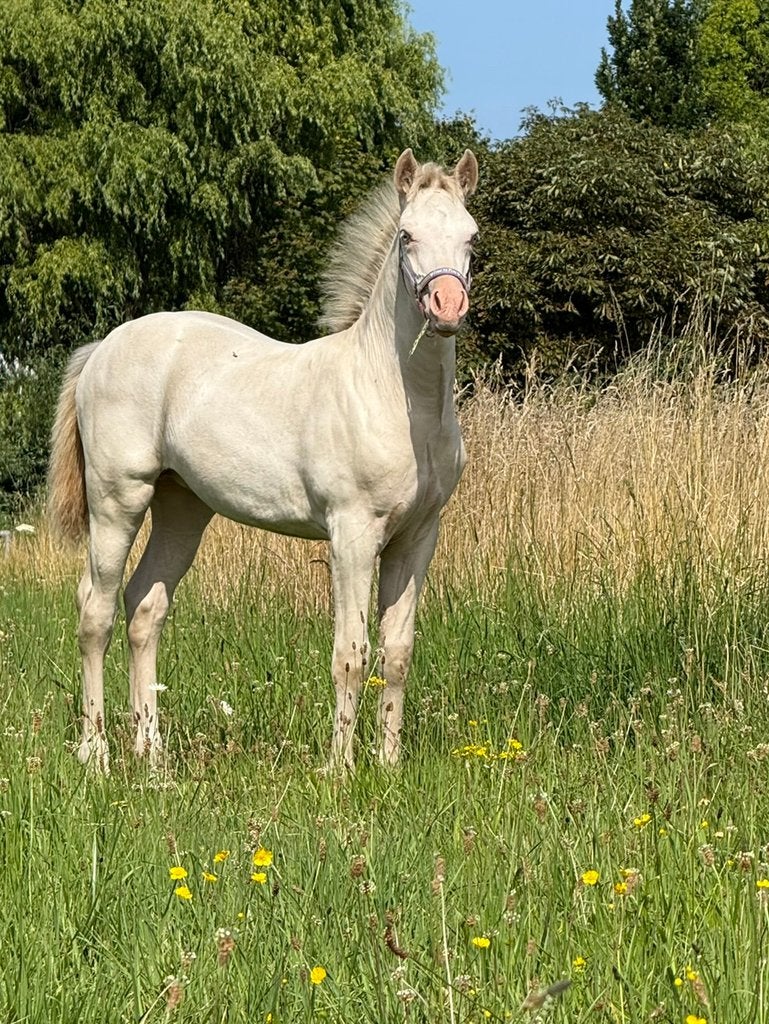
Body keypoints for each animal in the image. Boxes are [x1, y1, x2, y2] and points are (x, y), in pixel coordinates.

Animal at [47, 148, 479, 773]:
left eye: (471, 237)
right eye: (406, 236)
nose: (447, 307)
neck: (393, 395)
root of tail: (102, 347)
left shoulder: (418, 537)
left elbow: (396, 651)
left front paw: (388, 764)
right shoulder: (352, 535)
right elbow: (351, 652)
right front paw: (341, 769)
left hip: (182, 509)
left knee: (145, 608)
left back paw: (153, 756)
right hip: (117, 500)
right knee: (95, 611)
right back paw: (96, 753)